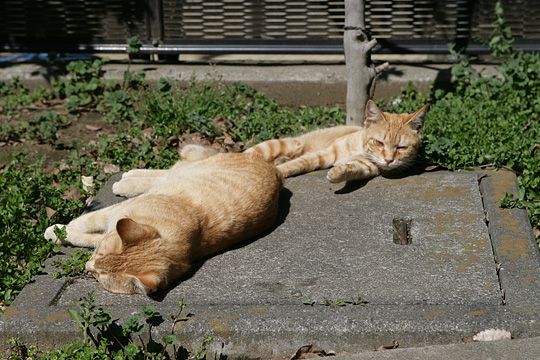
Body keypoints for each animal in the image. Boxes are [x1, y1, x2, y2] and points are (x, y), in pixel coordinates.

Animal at [44, 146, 282, 296]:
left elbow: (86, 232)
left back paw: (128, 181)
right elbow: (88, 221)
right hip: (189, 170)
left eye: (100, 275)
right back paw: (129, 177)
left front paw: (58, 232)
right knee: (167, 172)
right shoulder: (115, 214)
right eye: (100, 254)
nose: (87, 266)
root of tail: (276, 171)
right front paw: (60, 230)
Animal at [246, 100, 430, 181]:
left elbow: (352, 169)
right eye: (379, 143)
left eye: (401, 147)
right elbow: (299, 164)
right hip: (280, 145)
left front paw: (338, 172)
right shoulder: (326, 154)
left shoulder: (367, 167)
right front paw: (279, 171)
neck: (359, 147)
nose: (389, 160)